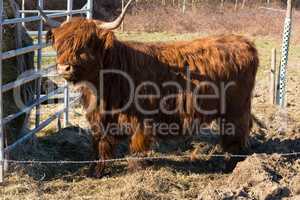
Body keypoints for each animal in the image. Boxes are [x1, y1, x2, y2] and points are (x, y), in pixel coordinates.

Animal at [38, 0, 258, 178]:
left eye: (86, 44)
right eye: (60, 44)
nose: (64, 68)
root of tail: (244, 41)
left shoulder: (142, 119)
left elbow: (137, 147)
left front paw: (137, 172)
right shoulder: (100, 118)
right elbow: (100, 144)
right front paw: (95, 172)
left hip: (236, 109)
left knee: (236, 135)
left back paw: (231, 167)